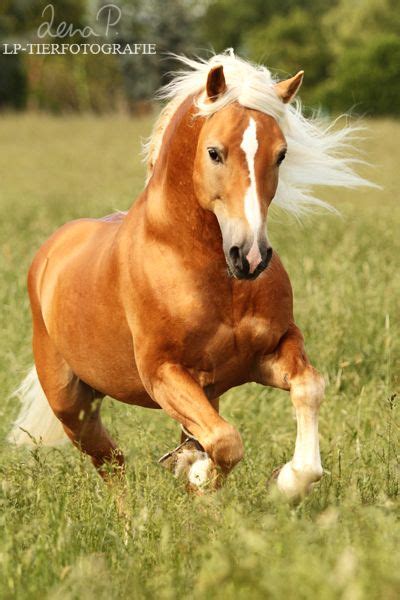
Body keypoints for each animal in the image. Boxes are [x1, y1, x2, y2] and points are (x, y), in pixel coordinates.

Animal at [9, 52, 370, 502]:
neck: (217, 277)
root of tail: (51, 253)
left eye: (281, 154)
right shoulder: (163, 373)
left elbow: (309, 388)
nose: (250, 256)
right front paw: (197, 474)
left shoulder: (269, 352)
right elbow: (226, 442)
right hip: (72, 404)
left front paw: (286, 482)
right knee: (112, 462)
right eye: (214, 152)